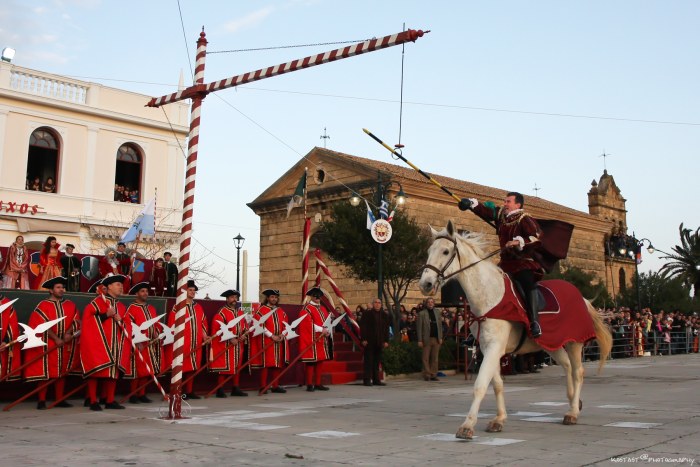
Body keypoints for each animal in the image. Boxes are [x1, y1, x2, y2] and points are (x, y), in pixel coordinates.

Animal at [418, 221, 608, 440]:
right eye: (429, 251)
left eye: (446, 251)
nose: (425, 284)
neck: (489, 297)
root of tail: (581, 297)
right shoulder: (487, 349)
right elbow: (497, 384)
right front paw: (499, 419)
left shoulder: (494, 348)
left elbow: (480, 385)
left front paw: (467, 425)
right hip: (551, 344)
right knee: (567, 366)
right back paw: (572, 402)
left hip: (574, 342)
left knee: (578, 371)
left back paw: (573, 412)